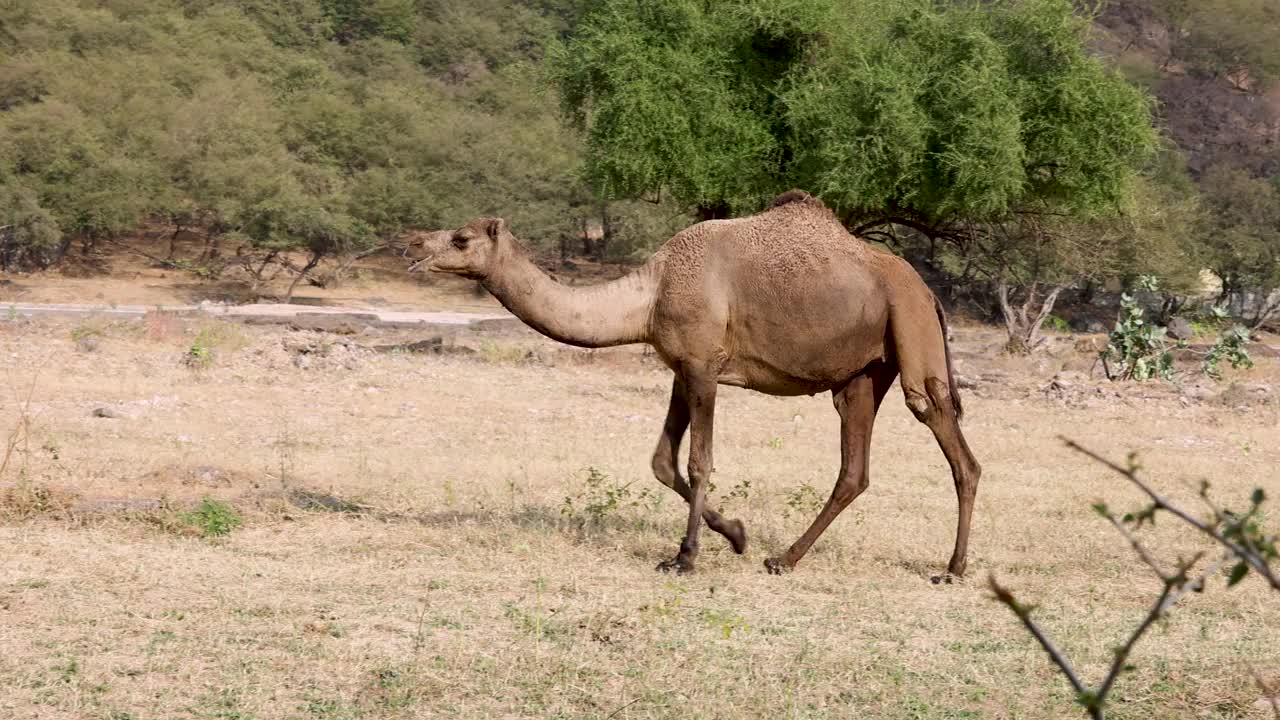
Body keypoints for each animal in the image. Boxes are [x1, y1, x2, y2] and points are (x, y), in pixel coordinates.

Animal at [409, 190, 977, 576]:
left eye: (460, 238)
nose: (414, 244)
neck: (652, 292)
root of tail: (927, 291)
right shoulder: (679, 367)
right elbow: (662, 462)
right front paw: (739, 536)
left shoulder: (704, 365)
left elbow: (698, 461)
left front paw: (684, 557)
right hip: (862, 373)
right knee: (853, 469)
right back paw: (782, 558)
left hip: (911, 333)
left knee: (948, 437)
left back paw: (952, 569)